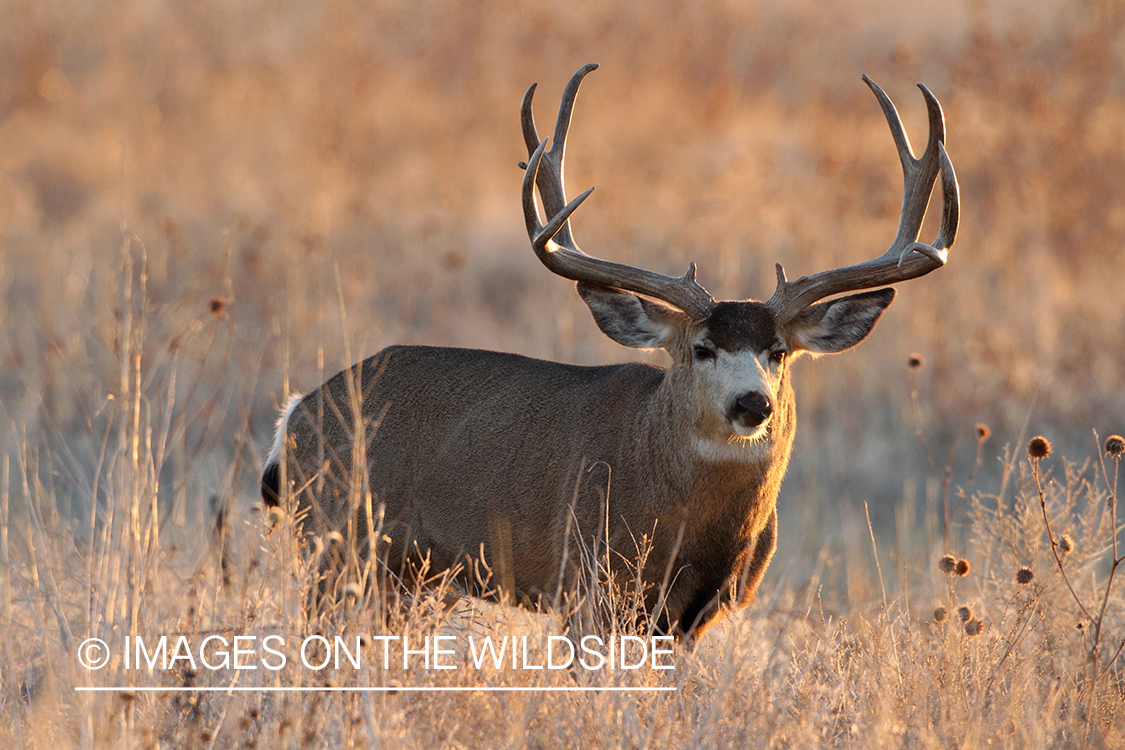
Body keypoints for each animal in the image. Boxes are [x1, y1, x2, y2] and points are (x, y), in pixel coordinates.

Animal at [263, 62, 958, 647]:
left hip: (412, 577)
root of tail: (297, 413)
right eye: (700, 348)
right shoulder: (587, 582)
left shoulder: (694, 617)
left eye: (779, 352)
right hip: (334, 543)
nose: (752, 403)